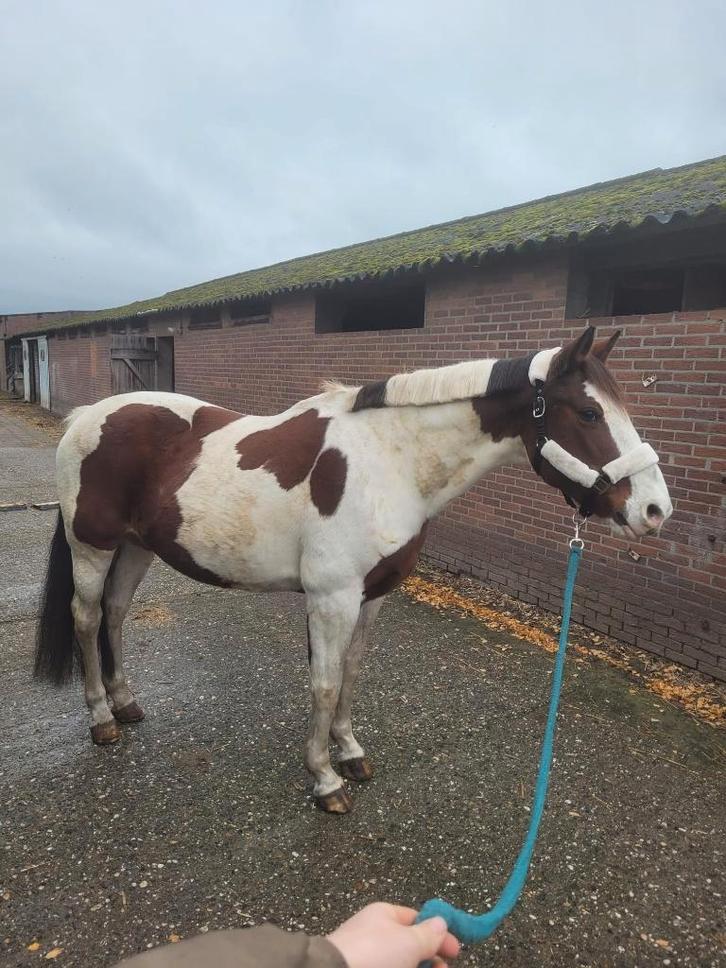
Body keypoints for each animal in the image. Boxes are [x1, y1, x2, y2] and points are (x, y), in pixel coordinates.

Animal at [34, 326, 672, 813]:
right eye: (588, 412)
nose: (654, 510)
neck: (389, 461)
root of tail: (88, 416)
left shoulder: (375, 594)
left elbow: (353, 674)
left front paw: (350, 752)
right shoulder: (331, 597)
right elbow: (323, 680)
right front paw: (324, 779)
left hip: (135, 548)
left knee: (116, 613)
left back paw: (126, 703)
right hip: (93, 547)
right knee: (87, 618)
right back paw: (101, 718)